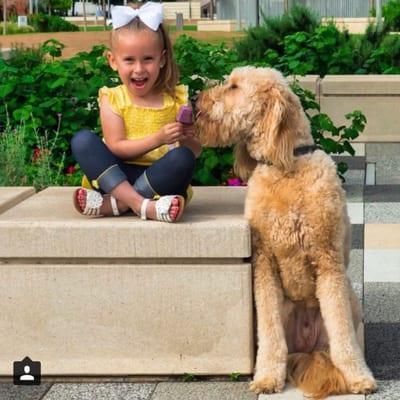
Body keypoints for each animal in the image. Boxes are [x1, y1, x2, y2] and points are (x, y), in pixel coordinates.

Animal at [195, 67, 376, 398]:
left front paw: (358, 377)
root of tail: (307, 346)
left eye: (234, 87)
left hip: (350, 298)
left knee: (340, 339)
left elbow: (341, 332)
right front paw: (267, 376)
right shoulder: (264, 263)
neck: (286, 167)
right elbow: (270, 333)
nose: (194, 98)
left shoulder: (328, 261)